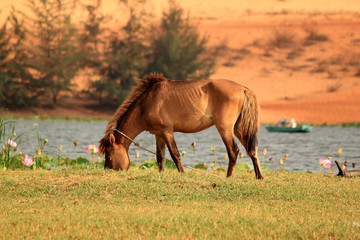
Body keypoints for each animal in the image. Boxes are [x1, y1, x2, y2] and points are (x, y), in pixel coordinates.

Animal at [100, 74, 262, 179]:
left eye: (109, 156)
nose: (106, 171)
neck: (146, 104)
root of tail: (243, 89)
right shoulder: (158, 134)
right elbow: (160, 157)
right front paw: (162, 174)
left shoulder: (167, 131)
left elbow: (175, 154)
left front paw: (183, 174)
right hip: (238, 128)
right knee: (252, 150)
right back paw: (259, 176)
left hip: (225, 128)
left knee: (233, 151)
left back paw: (228, 177)